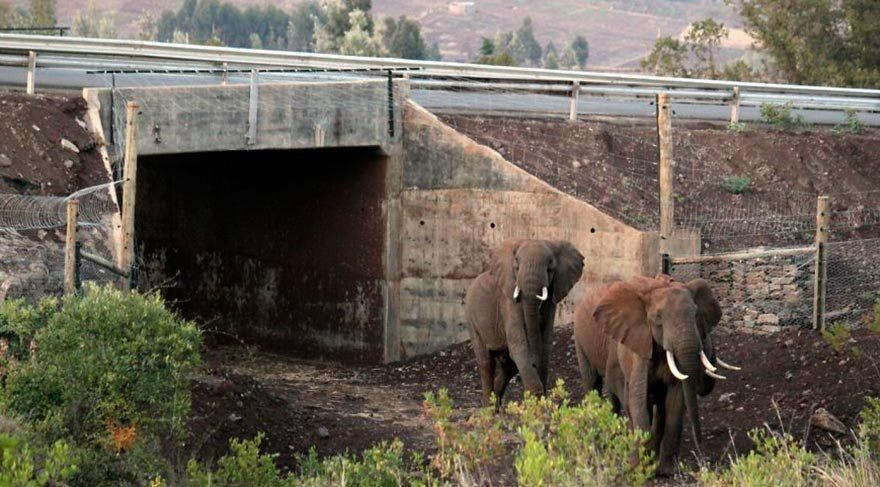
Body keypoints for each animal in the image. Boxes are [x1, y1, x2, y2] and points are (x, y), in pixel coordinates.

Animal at [468, 239, 584, 408]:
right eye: (517, 263)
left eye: (550, 267)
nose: (534, 363)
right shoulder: (508, 300)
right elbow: (519, 344)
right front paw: (538, 403)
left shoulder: (552, 298)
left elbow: (545, 345)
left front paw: (541, 404)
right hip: (472, 320)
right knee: (486, 362)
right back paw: (488, 408)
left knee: (508, 364)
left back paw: (496, 404)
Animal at [576, 274, 740, 476]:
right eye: (658, 318)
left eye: (695, 315)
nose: (701, 453)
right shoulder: (639, 345)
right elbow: (638, 399)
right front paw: (640, 468)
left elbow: (675, 402)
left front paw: (667, 471)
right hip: (582, 339)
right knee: (593, 384)